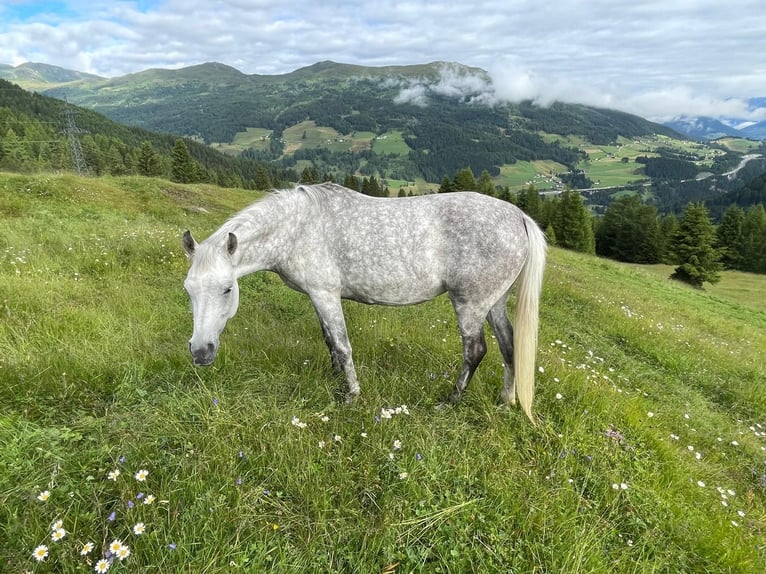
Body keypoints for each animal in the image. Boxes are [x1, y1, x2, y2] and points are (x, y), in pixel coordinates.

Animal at [184, 184, 544, 424]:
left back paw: (450, 401)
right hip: (494, 302)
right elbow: (329, 341)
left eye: (227, 289)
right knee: (509, 345)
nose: (201, 351)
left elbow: (343, 346)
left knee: (476, 350)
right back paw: (506, 401)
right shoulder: (318, 297)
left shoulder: (325, 294)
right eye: (188, 290)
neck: (299, 228)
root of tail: (518, 216)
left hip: (470, 304)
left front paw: (351, 396)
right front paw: (334, 379)